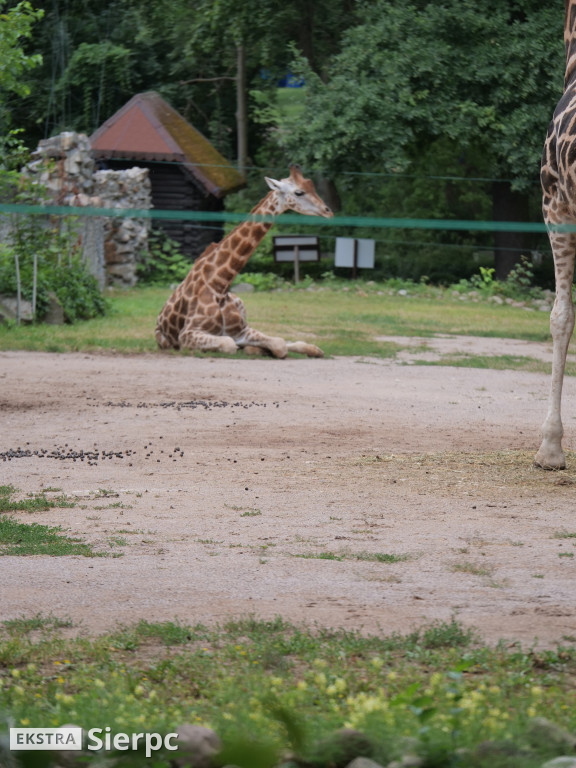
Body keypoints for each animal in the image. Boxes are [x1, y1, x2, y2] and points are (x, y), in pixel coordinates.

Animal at [154, 165, 332, 356]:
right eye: (299, 192)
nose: (328, 211)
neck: (219, 285)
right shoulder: (188, 334)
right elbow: (230, 344)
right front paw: (252, 348)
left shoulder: (241, 330)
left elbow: (279, 344)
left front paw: (259, 348)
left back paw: (313, 349)